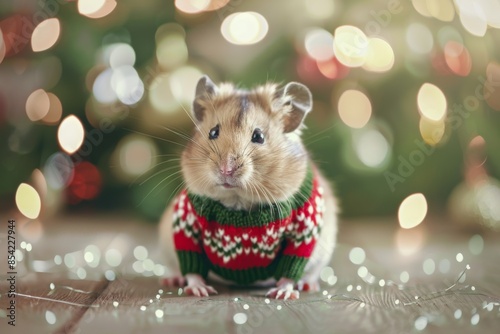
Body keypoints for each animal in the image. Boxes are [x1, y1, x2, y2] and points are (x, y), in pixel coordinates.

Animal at [159, 75, 340, 300]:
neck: (237, 200)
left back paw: (307, 285)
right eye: (213, 132)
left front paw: (282, 293)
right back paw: (172, 280)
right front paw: (199, 290)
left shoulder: (304, 228)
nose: (226, 169)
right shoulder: (186, 221)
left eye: (259, 136)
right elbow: (191, 264)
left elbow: (291, 266)